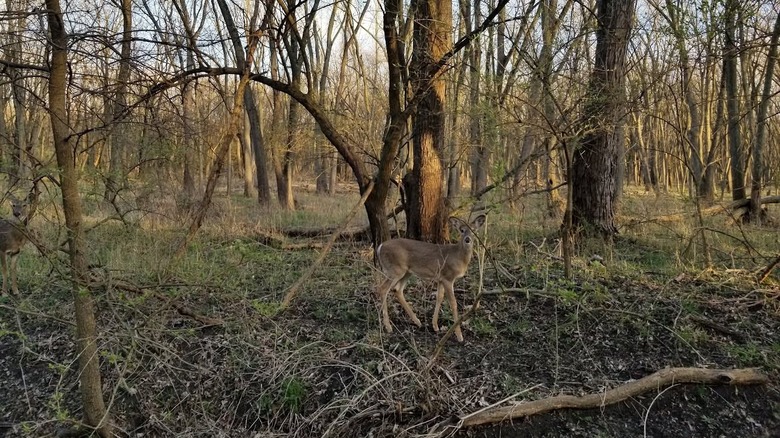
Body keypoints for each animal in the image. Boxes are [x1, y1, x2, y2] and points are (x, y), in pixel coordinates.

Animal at [375, 214, 486, 342]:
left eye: (474, 230)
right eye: (461, 230)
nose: (467, 239)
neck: (458, 257)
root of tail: (380, 247)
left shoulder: (441, 278)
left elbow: (439, 297)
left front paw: (435, 326)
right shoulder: (448, 277)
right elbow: (453, 303)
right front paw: (459, 336)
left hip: (406, 272)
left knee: (397, 290)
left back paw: (417, 322)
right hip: (395, 270)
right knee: (383, 288)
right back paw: (388, 327)